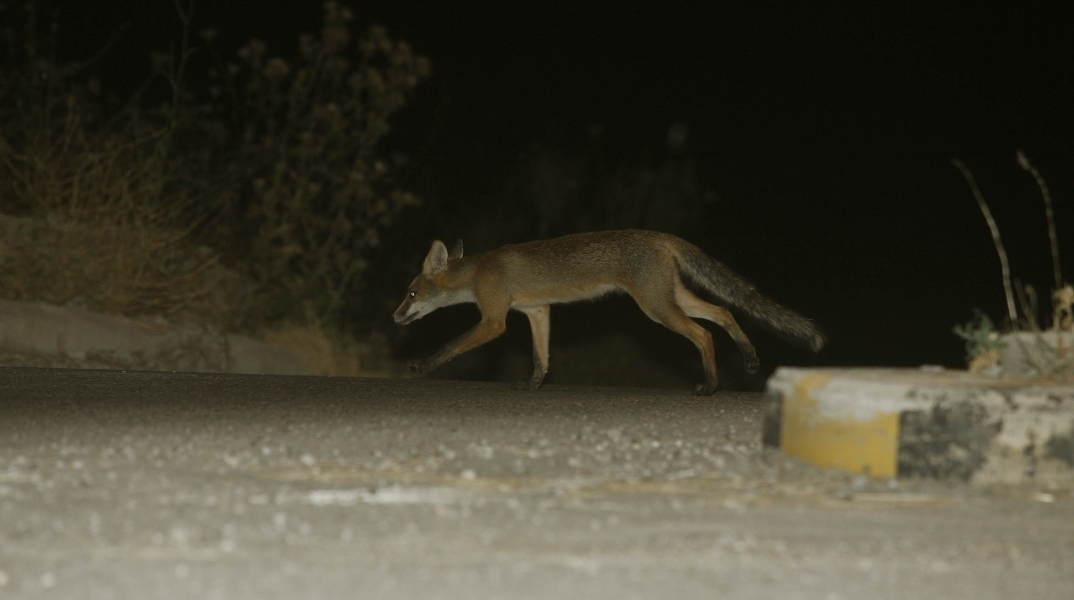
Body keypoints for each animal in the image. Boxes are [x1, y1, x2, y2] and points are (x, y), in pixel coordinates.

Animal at [393, 228, 820, 394]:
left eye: (411, 293)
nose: (395, 316)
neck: (479, 270)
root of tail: (660, 234)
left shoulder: (494, 320)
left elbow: (452, 345)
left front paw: (423, 365)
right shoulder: (537, 311)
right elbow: (541, 358)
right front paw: (533, 385)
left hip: (656, 308)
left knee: (704, 334)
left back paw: (710, 385)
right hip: (671, 299)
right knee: (724, 313)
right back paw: (749, 360)